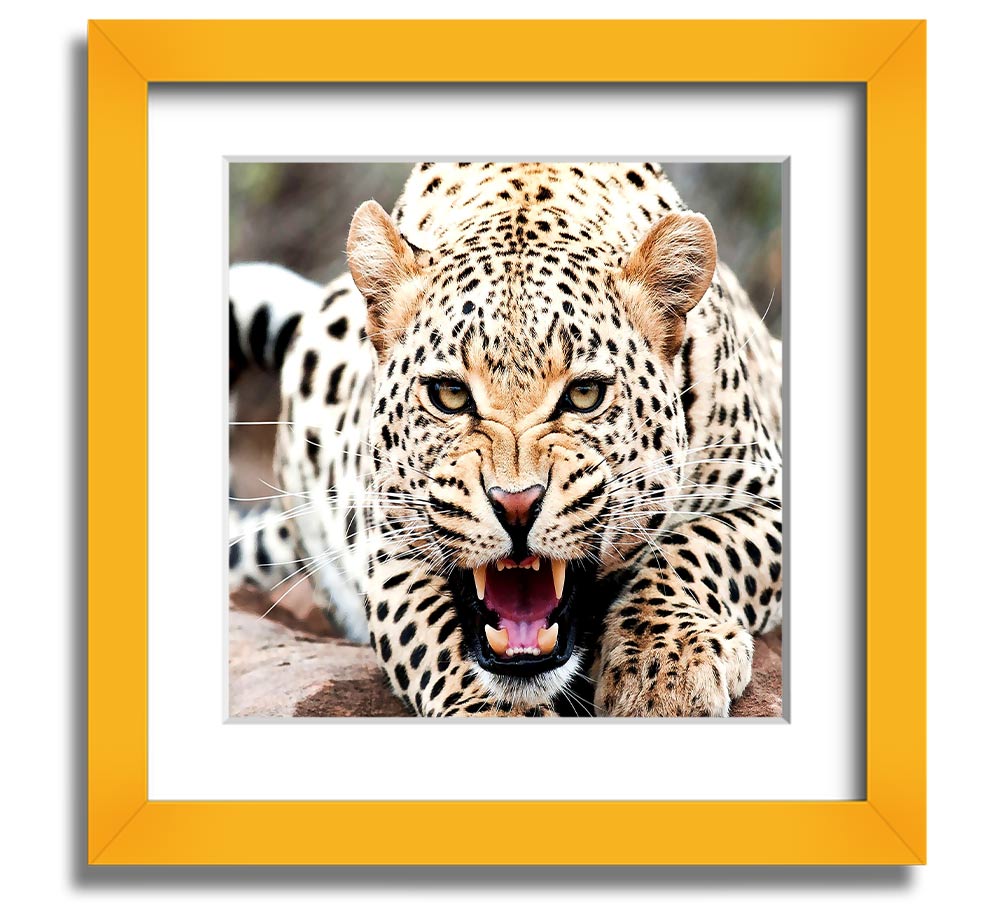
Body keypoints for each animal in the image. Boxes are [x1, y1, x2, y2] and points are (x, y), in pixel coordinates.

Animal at [229, 161, 783, 717]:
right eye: (450, 395)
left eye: (585, 394)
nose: (516, 505)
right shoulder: (387, 547)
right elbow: (436, 639)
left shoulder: (768, 495)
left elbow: (696, 548)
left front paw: (663, 665)